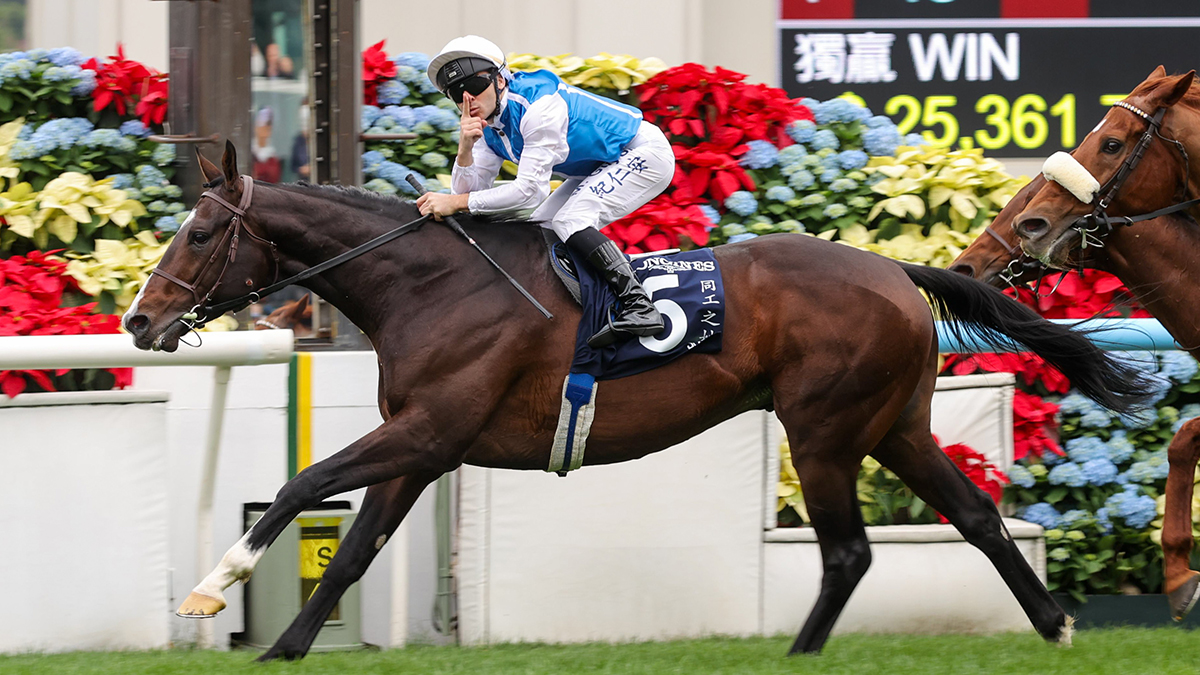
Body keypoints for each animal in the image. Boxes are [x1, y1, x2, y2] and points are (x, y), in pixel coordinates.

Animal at [122, 142, 1151, 661]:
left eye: (201, 232)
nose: (138, 319)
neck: (428, 285)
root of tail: (894, 270)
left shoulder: (426, 428)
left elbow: (304, 486)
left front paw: (211, 589)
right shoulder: (422, 443)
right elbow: (352, 550)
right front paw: (284, 648)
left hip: (823, 428)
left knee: (850, 551)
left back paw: (801, 652)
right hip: (894, 423)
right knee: (975, 515)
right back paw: (1053, 623)